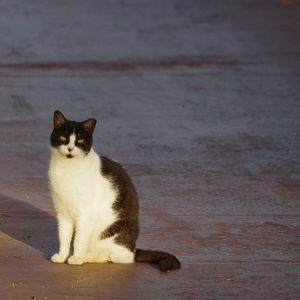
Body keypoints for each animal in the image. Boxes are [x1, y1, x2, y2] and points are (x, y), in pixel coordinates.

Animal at [48, 110, 180, 272]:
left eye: (80, 140)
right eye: (63, 138)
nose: (70, 149)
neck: (67, 169)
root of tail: (133, 249)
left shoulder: (86, 214)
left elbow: (79, 239)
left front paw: (77, 258)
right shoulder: (62, 213)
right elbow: (64, 237)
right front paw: (62, 256)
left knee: (119, 258)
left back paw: (87, 257)